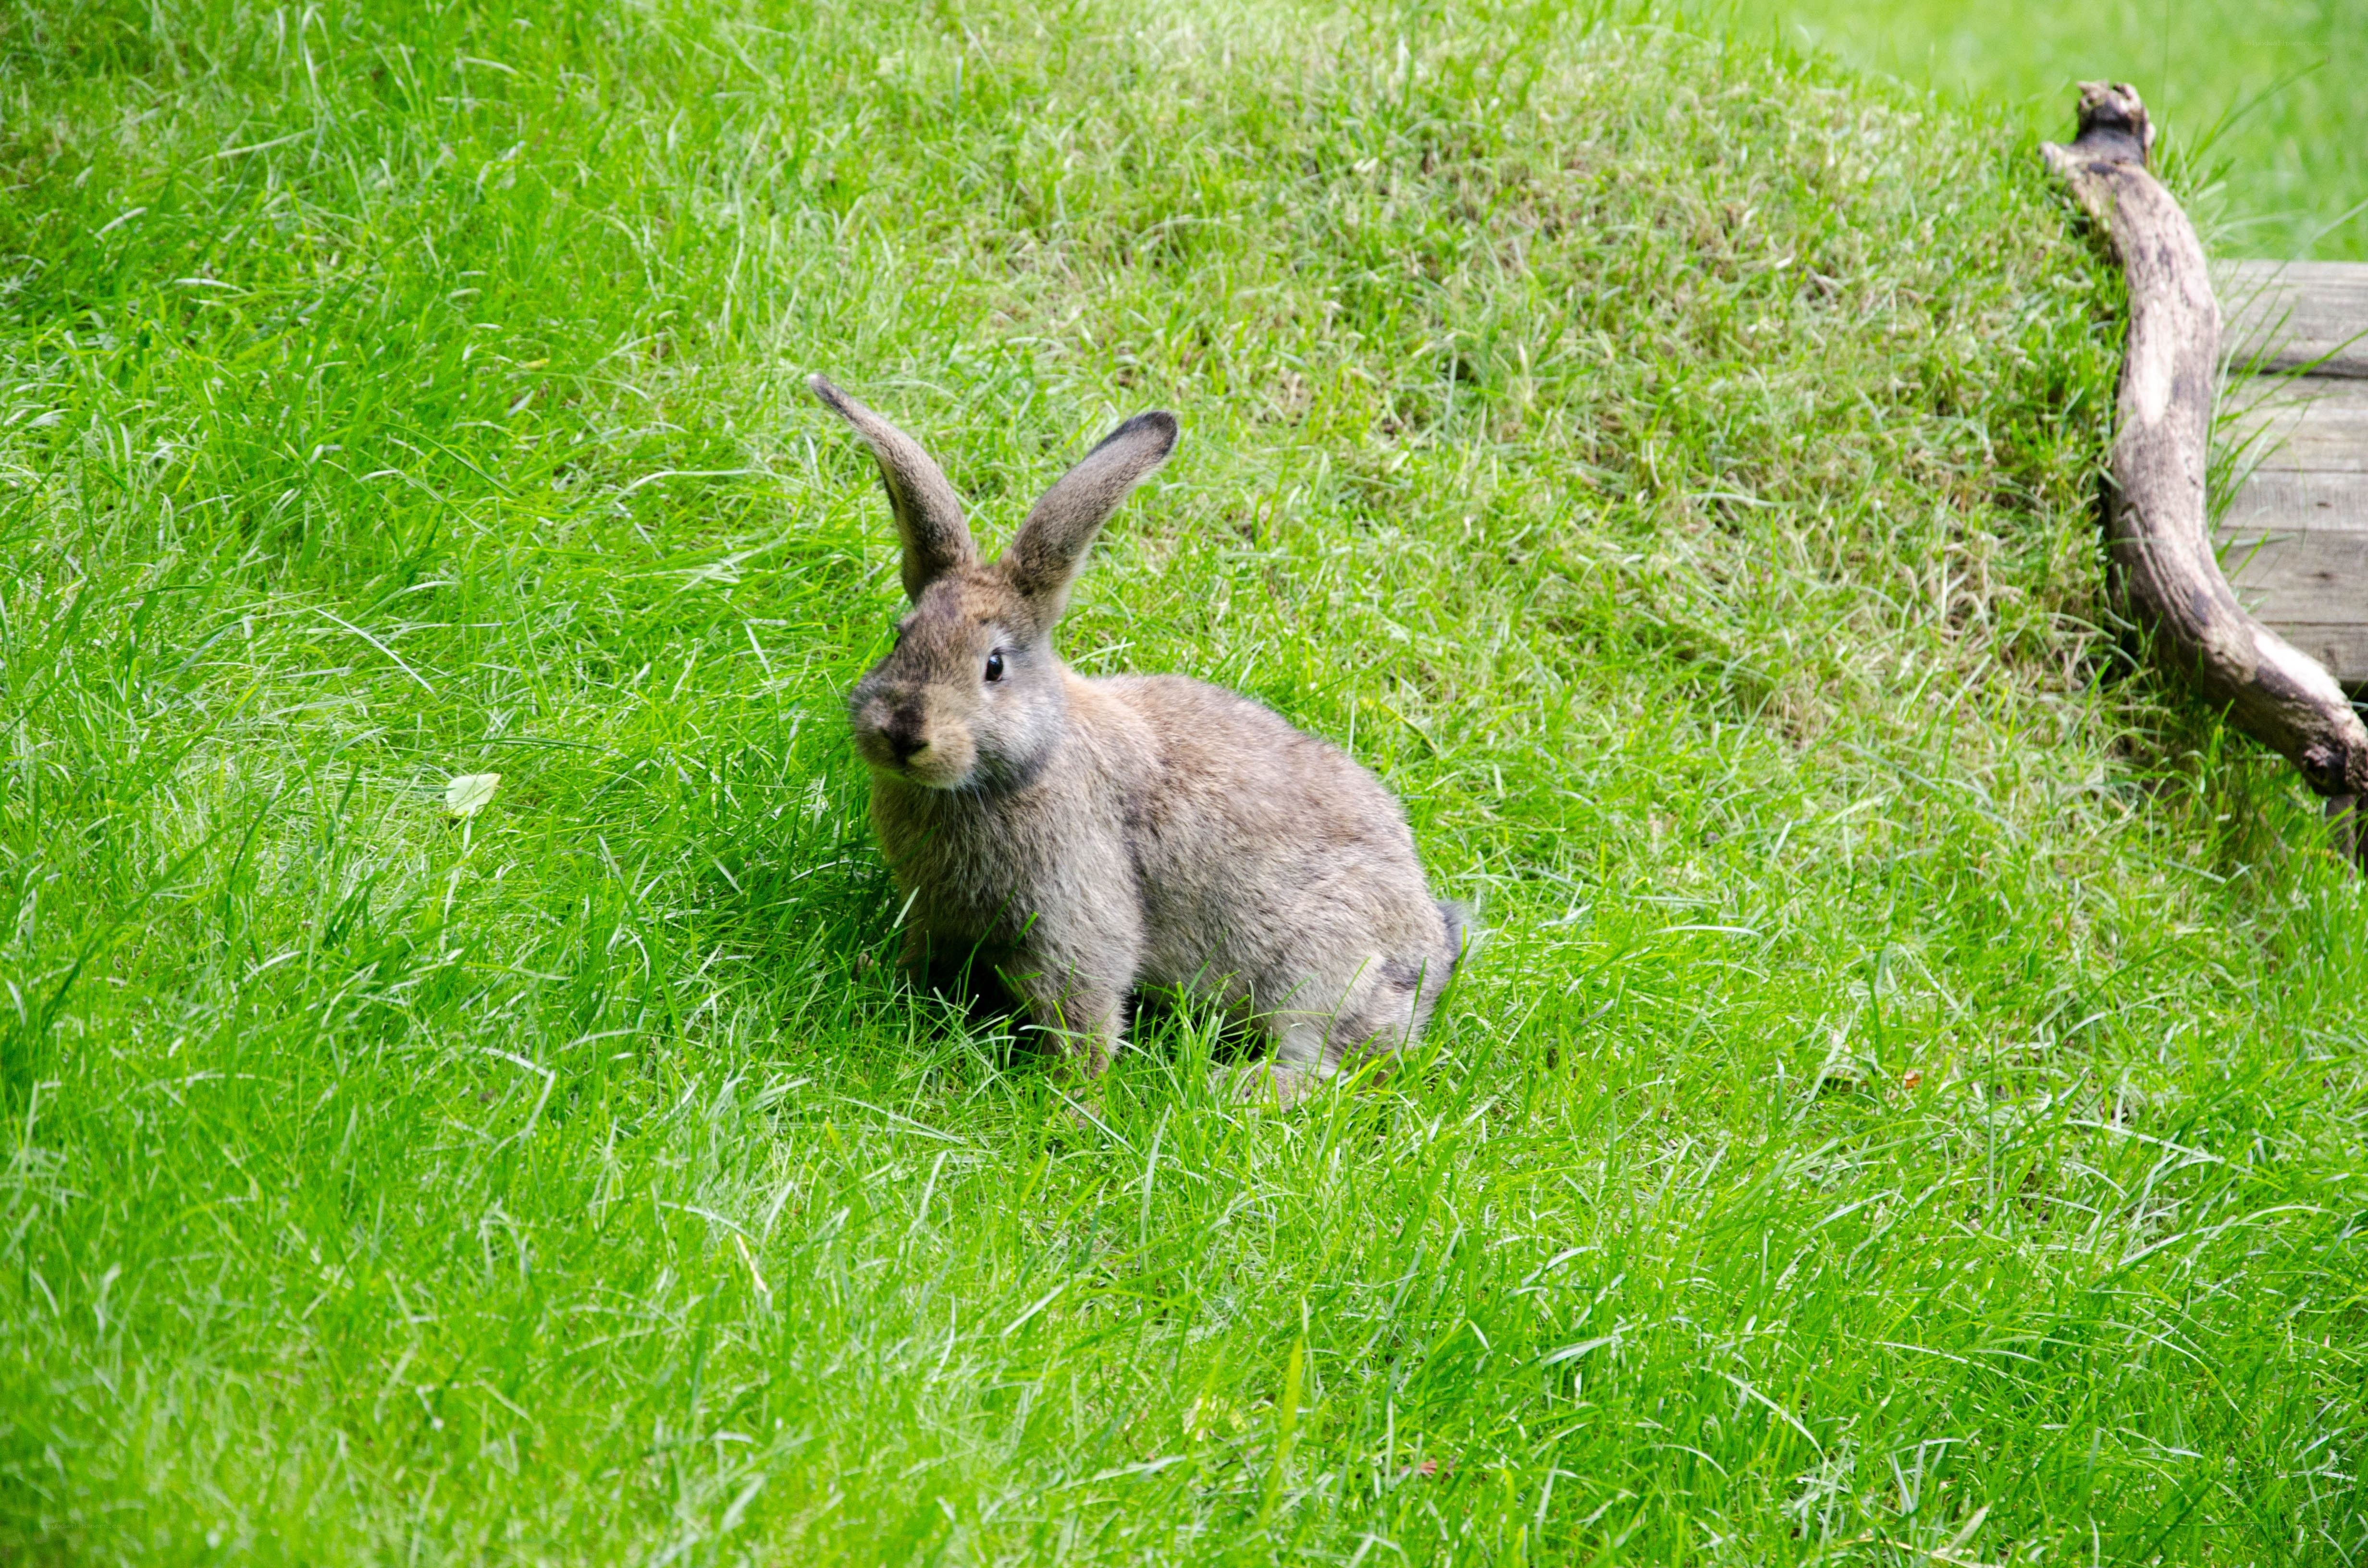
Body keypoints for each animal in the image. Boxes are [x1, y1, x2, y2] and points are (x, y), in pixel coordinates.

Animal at [812, 375, 1467, 1102]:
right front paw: (879, 979)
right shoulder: (936, 913)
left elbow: (1085, 1011)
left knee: (1329, 1070)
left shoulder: (1078, 913)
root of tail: (1432, 956)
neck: (1022, 768)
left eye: (994, 666)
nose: (904, 733)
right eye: (900, 637)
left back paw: (1231, 1087)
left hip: (1319, 972)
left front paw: (1073, 1101)